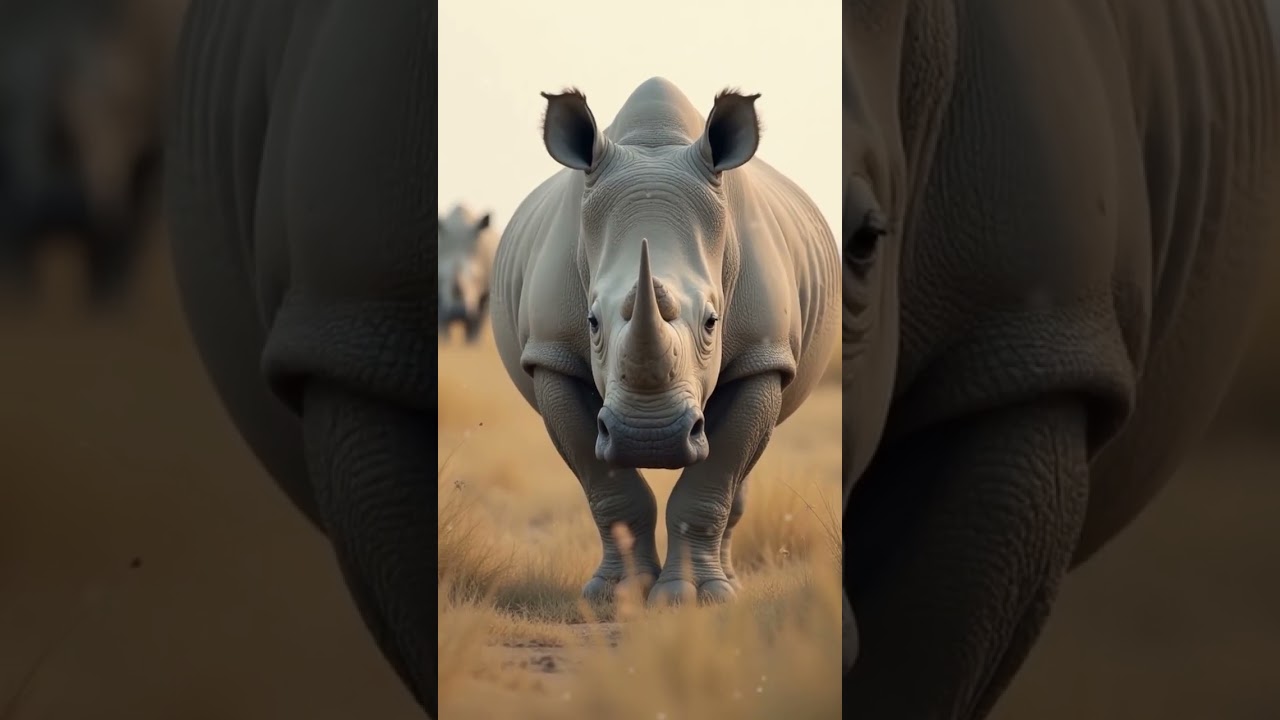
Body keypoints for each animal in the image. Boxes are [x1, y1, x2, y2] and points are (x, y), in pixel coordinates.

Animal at [437, 203, 497, 343]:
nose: (457, 311)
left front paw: (472, 343)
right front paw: (444, 342)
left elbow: (476, 321)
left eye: (476, 277)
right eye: (441, 277)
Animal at [488, 77, 840, 606]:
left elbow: (713, 481)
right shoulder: (552, 353)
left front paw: (694, 599)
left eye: (713, 322)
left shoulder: (762, 354)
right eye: (591, 321)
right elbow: (609, 488)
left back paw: (729, 585)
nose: (648, 437)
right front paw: (619, 596)